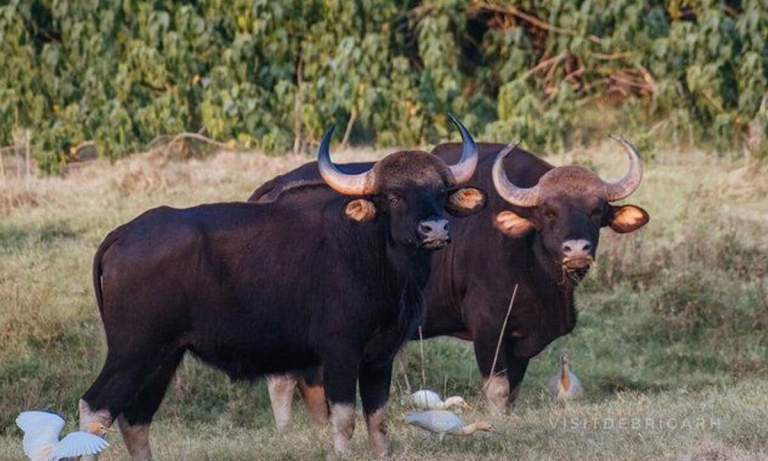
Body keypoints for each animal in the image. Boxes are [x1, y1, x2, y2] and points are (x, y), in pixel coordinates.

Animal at [78, 116, 486, 459]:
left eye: (441, 191)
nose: (435, 229)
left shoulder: (379, 357)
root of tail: (123, 235)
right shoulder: (340, 352)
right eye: (395, 195)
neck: (376, 256)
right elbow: (344, 420)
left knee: (136, 418)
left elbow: (379, 422)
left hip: (164, 356)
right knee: (95, 407)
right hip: (133, 350)